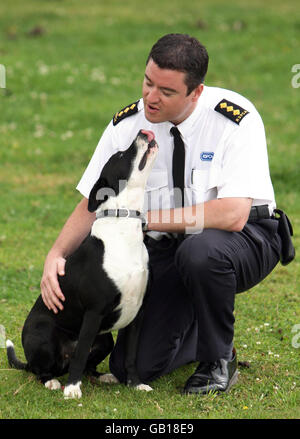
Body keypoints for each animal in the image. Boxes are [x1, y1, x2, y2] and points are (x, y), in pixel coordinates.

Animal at [5, 130, 158, 398]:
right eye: (120, 155)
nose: (143, 132)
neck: (123, 226)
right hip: (45, 337)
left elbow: (130, 356)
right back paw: (53, 381)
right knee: (43, 369)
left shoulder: (137, 313)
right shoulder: (93, 312)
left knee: (85, 362)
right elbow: (80, 355)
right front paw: (72, 390)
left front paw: (136, 383)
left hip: (105, 339)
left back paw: (102, 376)